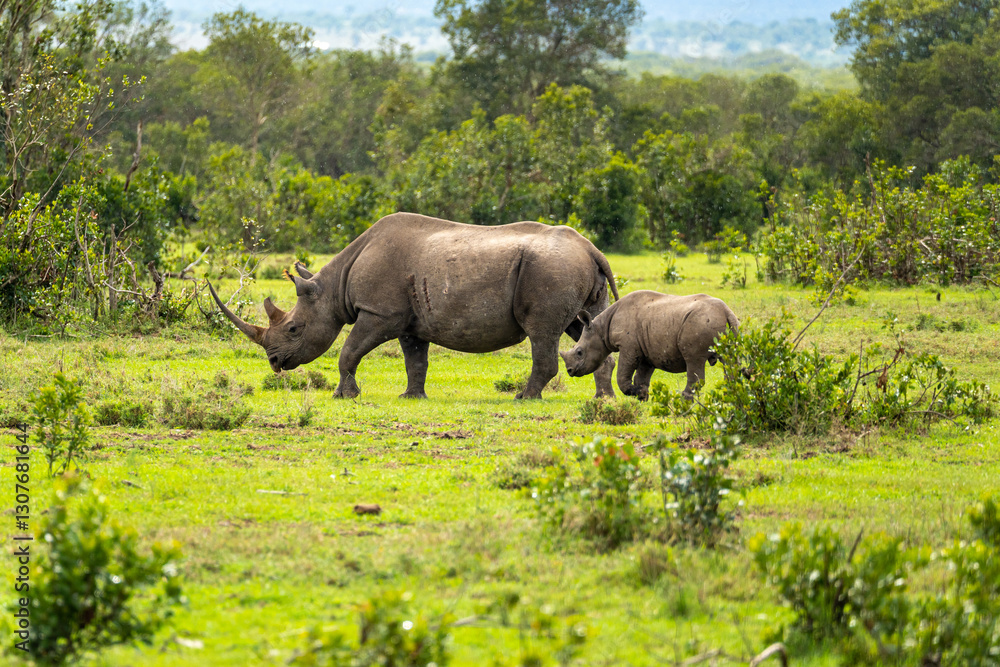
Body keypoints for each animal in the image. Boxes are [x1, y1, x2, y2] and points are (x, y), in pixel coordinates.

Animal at [209, 212, 619, 399]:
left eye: (294, 329)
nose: (275, 363)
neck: (333, 287)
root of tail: (591, 248)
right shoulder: (409, 322)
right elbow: (415, 361)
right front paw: (412, 396)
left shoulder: (378, 313)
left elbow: (349, 350)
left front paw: (344, 395)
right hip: (568, 268)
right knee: (586, 326)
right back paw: (603, 400)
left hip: (550, 268)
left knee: (542, 332)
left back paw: (524, 398)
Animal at [560, 290, 739, 400]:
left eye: (579, 352)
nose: (570, 371)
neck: (601, 329)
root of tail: (726, 311)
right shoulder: (646, 350)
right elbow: (642, 376)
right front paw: (641, 395)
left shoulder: (628, 347)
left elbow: (622, 374)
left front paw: (634, 392)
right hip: (731, 326)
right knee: (729, 361)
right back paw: (730, 395)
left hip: (699, 322)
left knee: (694, 360)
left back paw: (684, 399)